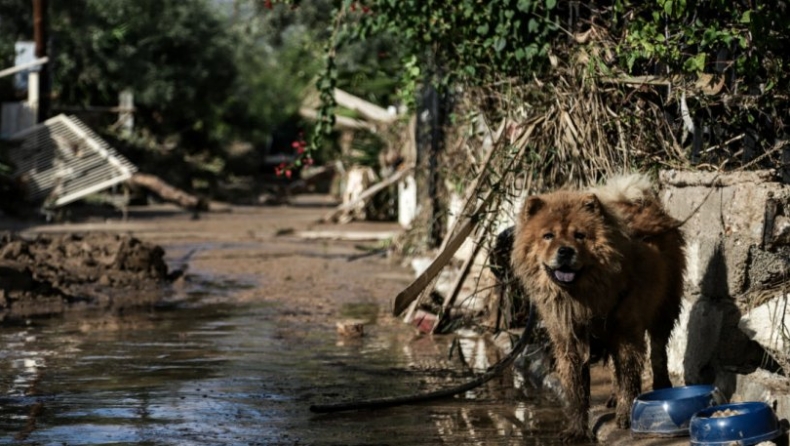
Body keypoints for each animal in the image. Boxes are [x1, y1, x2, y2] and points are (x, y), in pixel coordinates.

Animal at [512, 173, 688, 440]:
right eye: (548, 236)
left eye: (580, 235)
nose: (565, 251)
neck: (582, 297)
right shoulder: (570, 342)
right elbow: (577, 390)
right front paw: (576, 429)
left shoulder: (627, 332)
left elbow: (629, 378)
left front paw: (626, 416)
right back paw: (613, 398)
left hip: (663, 311)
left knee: (658, 355)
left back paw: (660, 388)